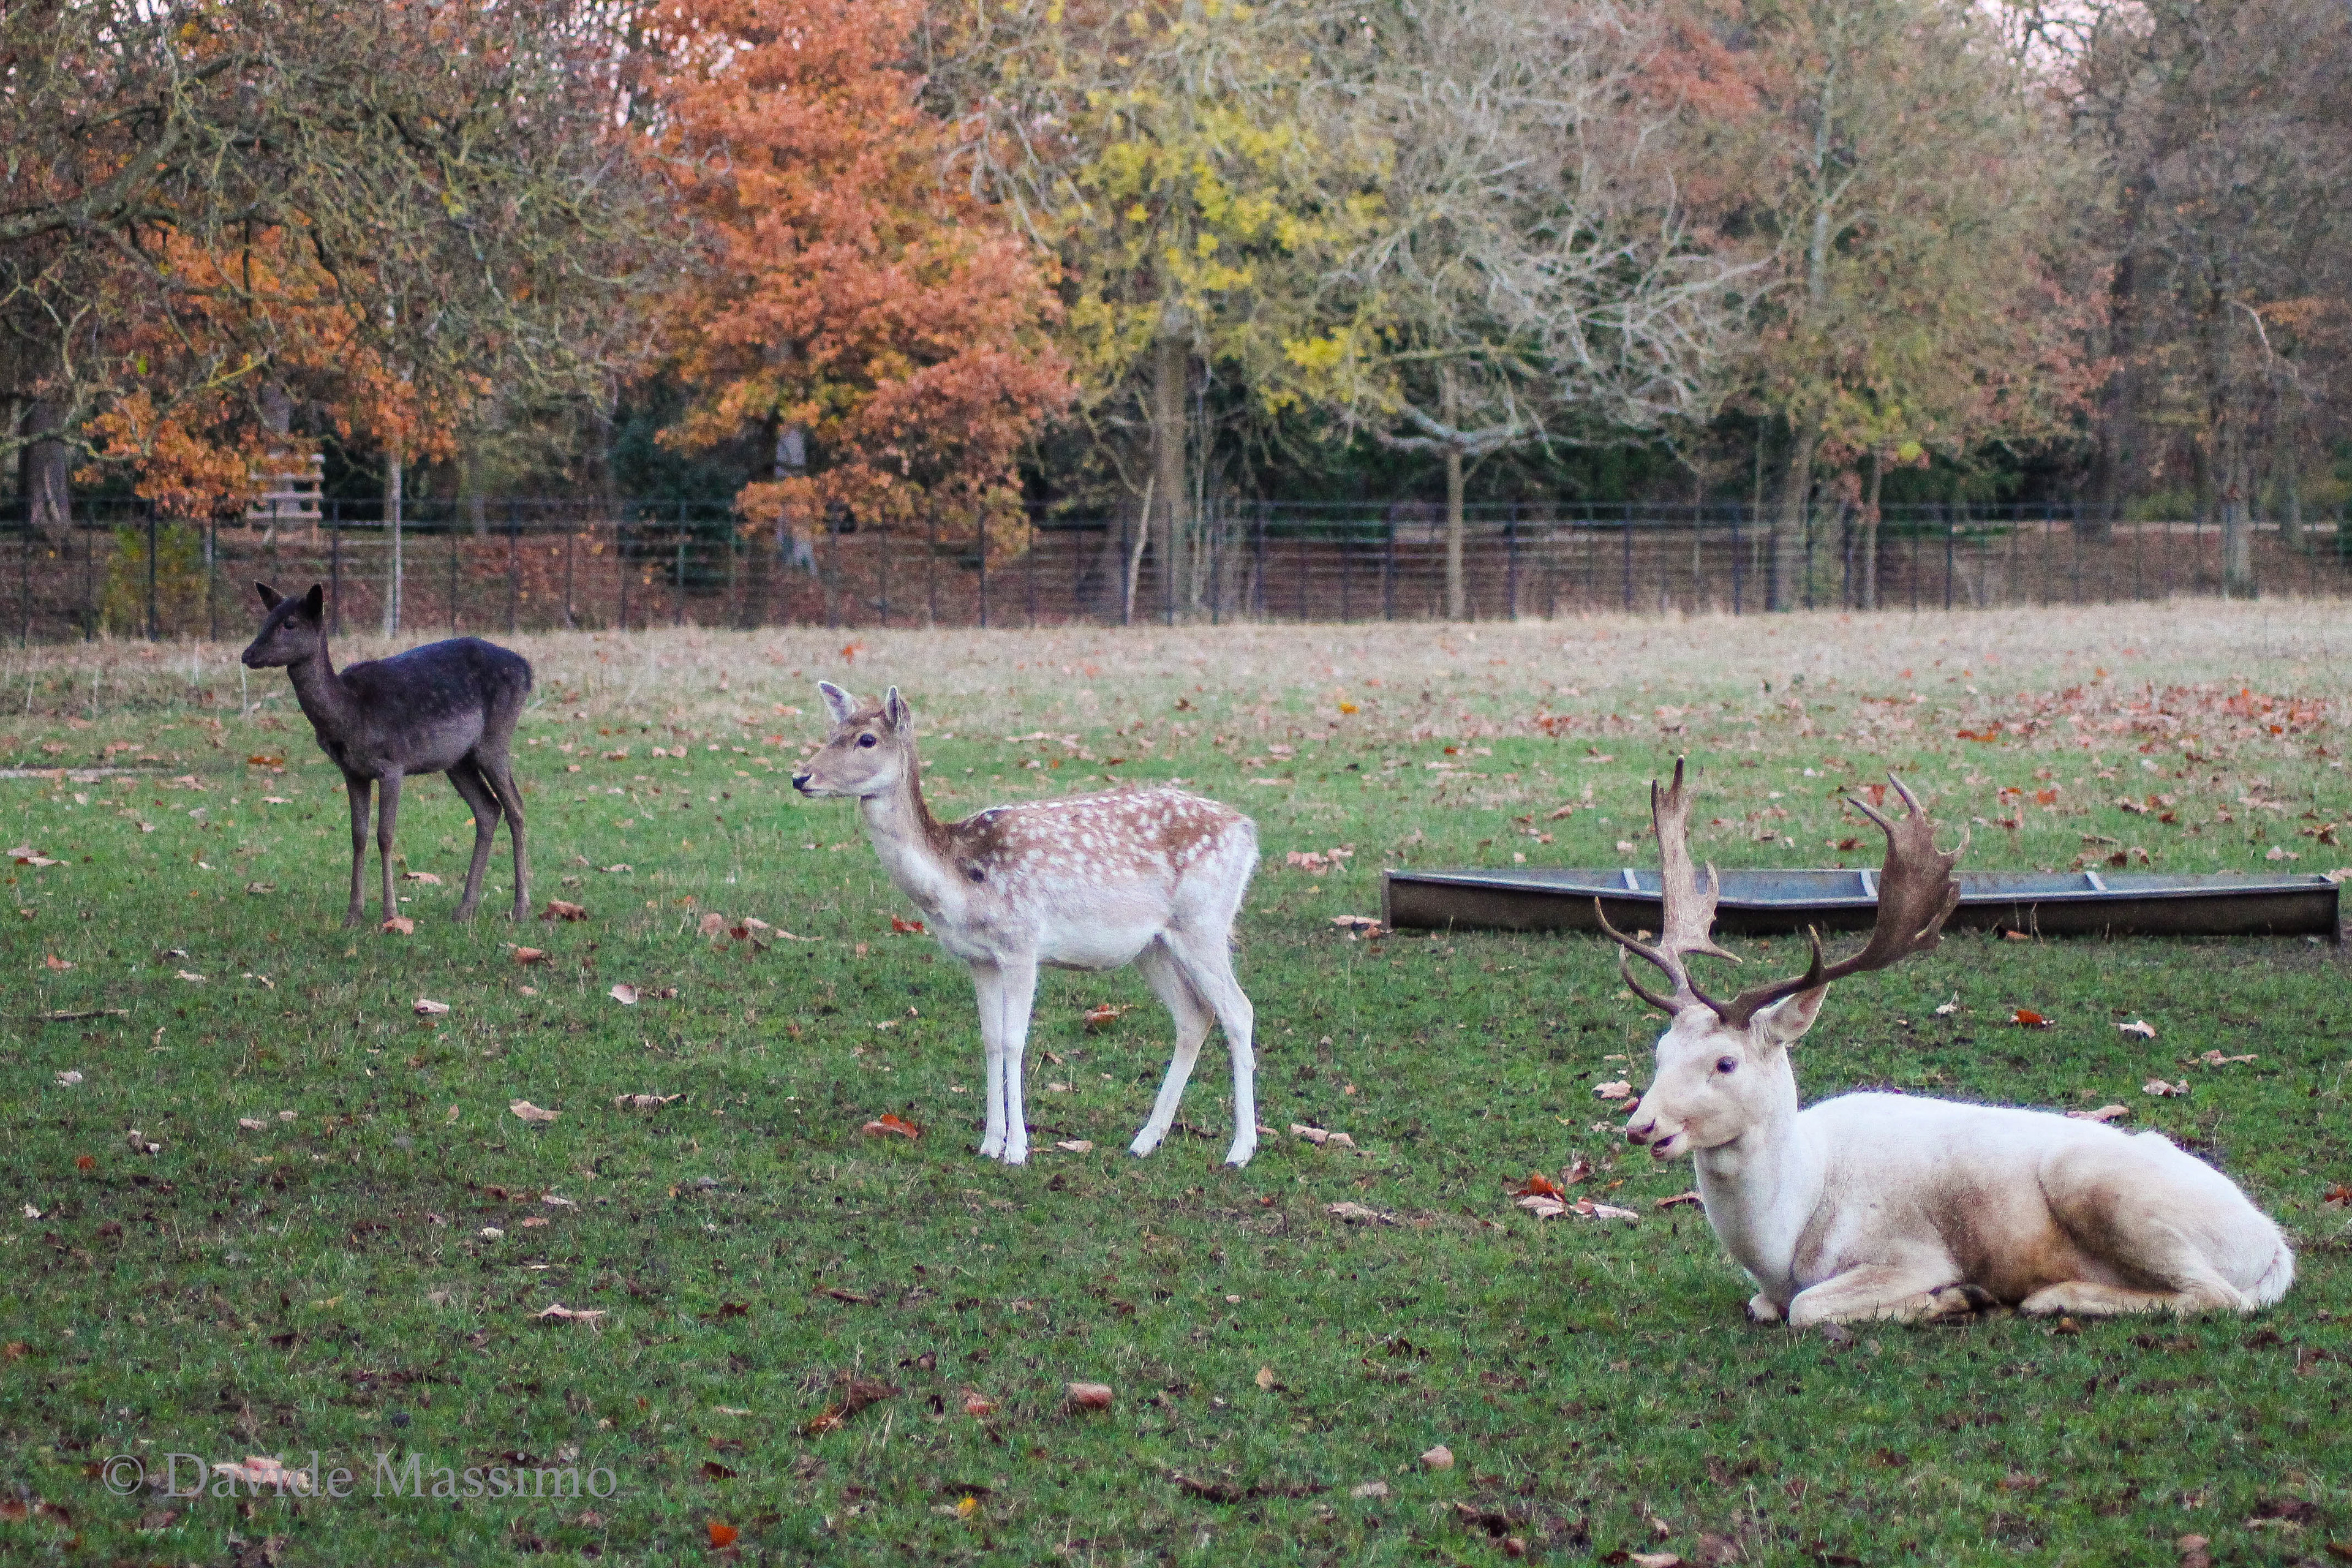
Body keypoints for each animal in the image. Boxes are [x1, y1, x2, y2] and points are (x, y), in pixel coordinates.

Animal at [240, 582, 533, 928]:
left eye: (290, 623)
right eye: (267, 618)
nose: (248, 654)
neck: (349, 715)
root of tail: (527, 670)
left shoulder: (393, 764)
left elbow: (385, 835)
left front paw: (390, 915)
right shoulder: (352, 772)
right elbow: (358, 836)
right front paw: (352, 915)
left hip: (495, 739)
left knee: (516, 807)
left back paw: (521, 908)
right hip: (458, 760)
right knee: (488, 809)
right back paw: (464, 910)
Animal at [793, 683, 1260, 1167]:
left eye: (866, 739)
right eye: (831, 732)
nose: (800, 778)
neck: (957, 879)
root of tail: (1248, 830)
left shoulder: (1021, 943)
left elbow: (1015, 1039)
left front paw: (1017, 1149)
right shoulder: (978, 958)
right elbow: (991, 1039)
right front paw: (988, 1143)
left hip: (1204, 921)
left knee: (1238, 1011)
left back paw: (1240, 1149)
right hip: (1153, 945)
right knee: (1194, 1016)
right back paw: (1146, 1140)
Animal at [1599, 759, 2292, 1326]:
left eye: (1726, 1062)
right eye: (1659, 1052)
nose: (1641, 1125)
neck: (1786, 1234)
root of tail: (2275, 1244)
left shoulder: (1910, 1251)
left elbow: (1807, 1307)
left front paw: (1952, 1298)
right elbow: (1766, 1306)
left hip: (2101, 1185)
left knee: (2217, 1296)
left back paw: (2049, 1296)